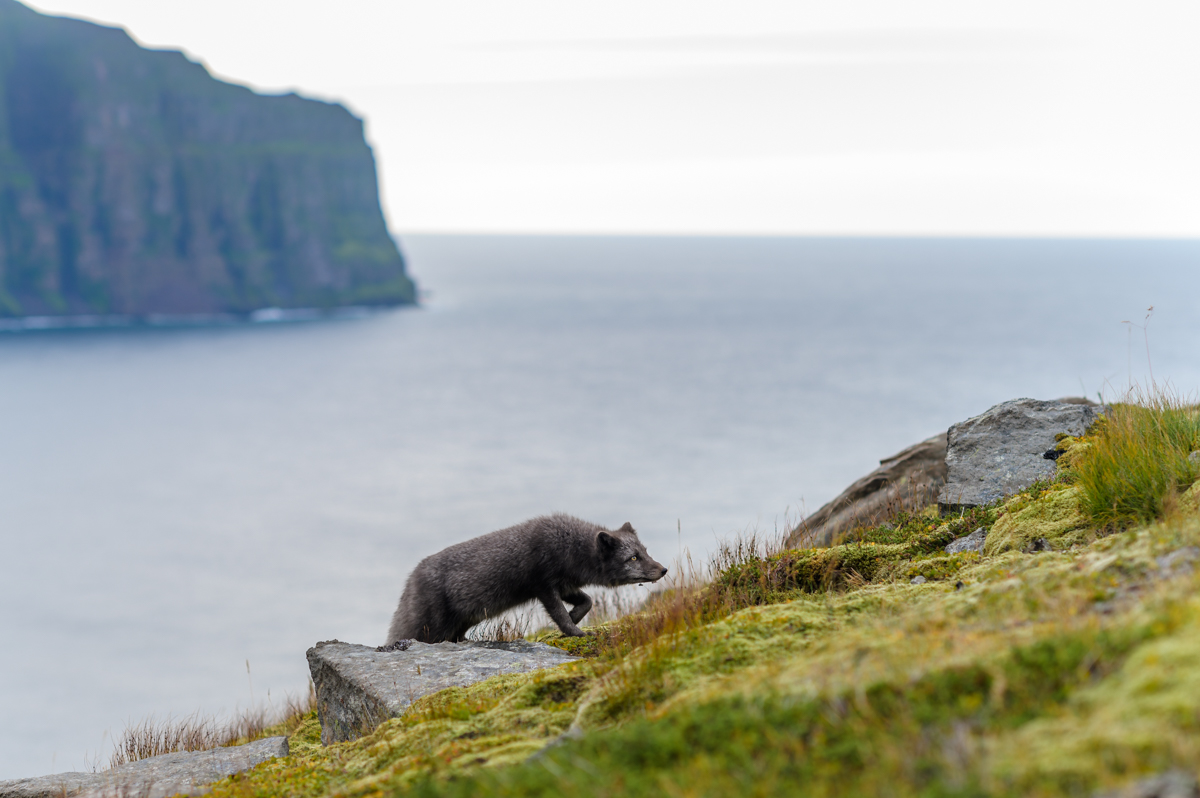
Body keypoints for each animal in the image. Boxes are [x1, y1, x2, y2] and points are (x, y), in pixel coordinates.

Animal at [384, 513, 667, 643]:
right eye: (633, 558)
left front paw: (575, 618)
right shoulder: (544, 585)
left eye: (645, 551)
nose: (663, 570)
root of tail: (410, 580)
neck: (569, 545)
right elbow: (560, 615)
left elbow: (587, 601)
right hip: (429, 629)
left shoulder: (565, 584)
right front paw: (575, 631)